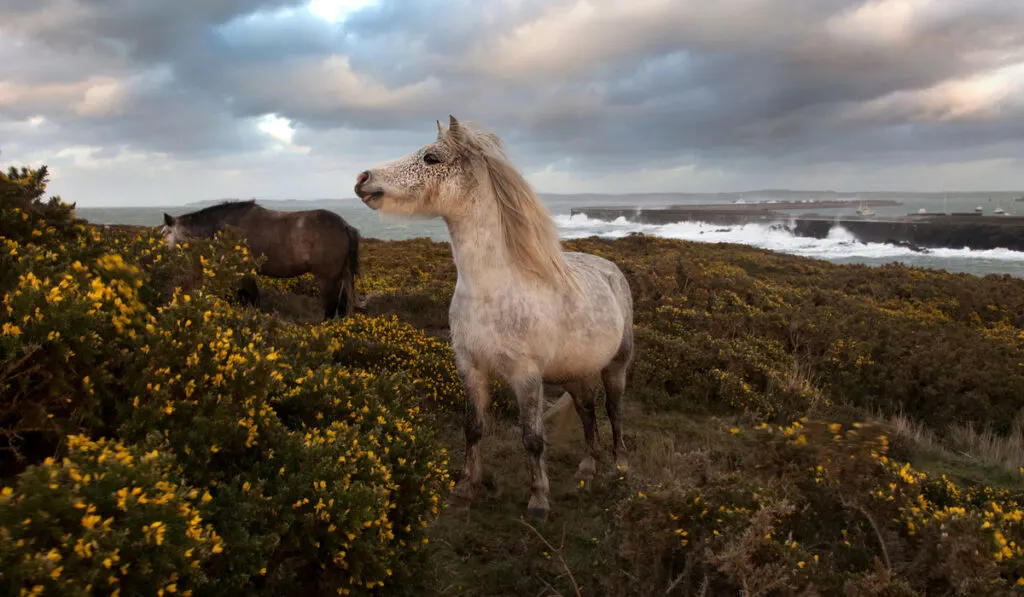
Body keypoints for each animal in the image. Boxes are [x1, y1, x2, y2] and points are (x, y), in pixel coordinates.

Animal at [162, 200, 360, 319]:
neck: (225, 227)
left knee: (331, 306)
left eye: (165, 233)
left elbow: (251, 299)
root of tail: (344, 225)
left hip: (327, 278)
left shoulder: (244, 272)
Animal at [356, 116, 634, 524]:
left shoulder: (527, 375)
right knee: (587, 411)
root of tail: (611, 269)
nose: (363, 178)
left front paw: (538, 501)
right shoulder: (470, 367)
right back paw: (587, 467)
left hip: (615, 366)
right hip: (576, 373)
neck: (491, 290)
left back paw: (620, 465)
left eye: (432, 157)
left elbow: (532, 438)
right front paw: (464, 490)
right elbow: (473, 428)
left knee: (614, 410)